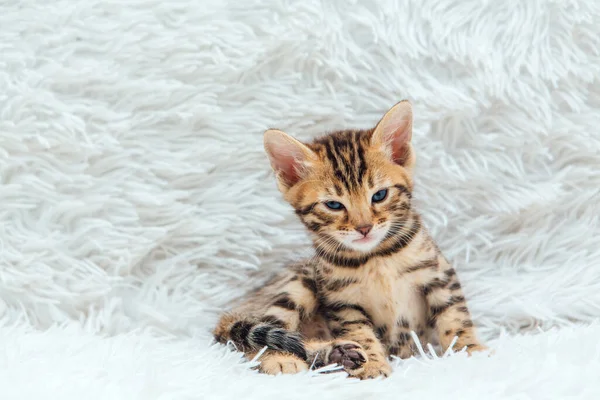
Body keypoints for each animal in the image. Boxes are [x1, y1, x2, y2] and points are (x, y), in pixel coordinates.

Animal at [214, 101, 488, 380]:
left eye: (379, 195)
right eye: (334, 205)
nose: (364, 228)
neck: (377, 256)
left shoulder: (439, 275)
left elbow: (454, 317)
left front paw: (470, 351)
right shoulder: (343, 302)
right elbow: (361, 333)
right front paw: (373, 364)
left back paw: (337, 354)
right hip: (297, 284)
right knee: (262, 338)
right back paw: (285, 358)